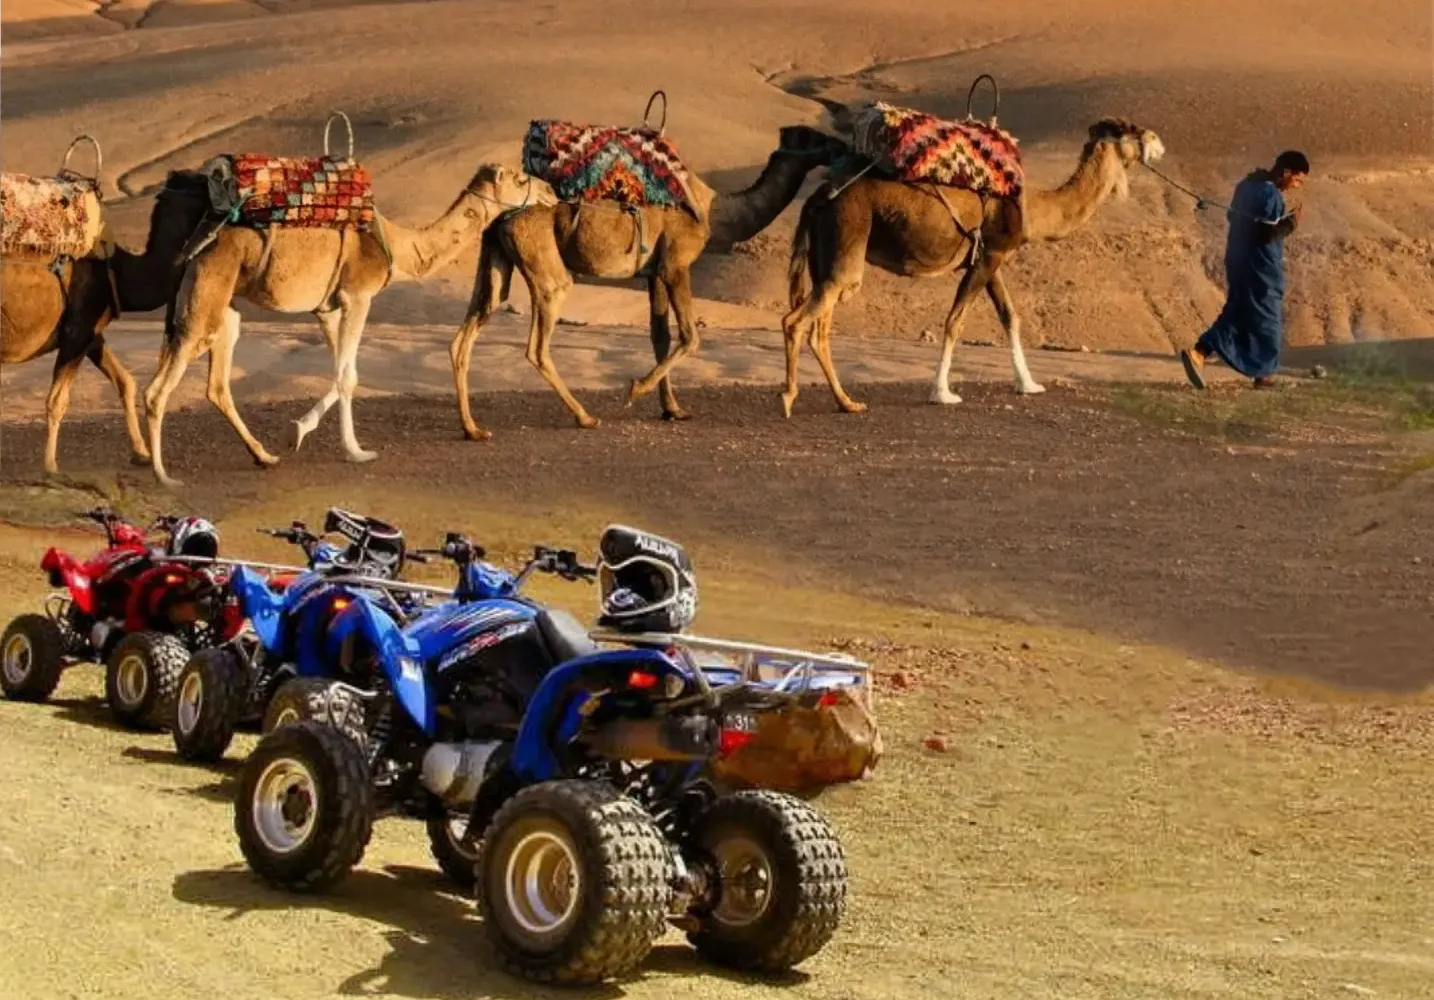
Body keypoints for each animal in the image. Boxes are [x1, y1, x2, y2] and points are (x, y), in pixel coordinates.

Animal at [1, 171, 211, 474]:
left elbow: (125, 382)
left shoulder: (92, 334)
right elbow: (56, 401)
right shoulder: (77, 332)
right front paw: (50, 467)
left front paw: (141, 453)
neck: (118, 271)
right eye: (203, 183)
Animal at [144, 164, 546, 487]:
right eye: (520, 177)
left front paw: (297, 432)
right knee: (158, 390)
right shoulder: (358, 295)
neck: (397, 246)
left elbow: (344, 371)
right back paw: (163, 475)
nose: (548, 191)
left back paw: (264, 456)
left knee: (215, 384)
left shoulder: (329, 308)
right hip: (208, 291)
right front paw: (356, 451)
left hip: (222, 306)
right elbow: (347, 377)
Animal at [448, 125, 850, 438]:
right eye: (815, 136)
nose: (843, 146)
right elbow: (690, 335)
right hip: (543, 260)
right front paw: (636, 389)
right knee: (539, 340)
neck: (715, 211)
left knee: (476, 320)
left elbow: (662, 336)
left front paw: (673, 408)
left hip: (495, 256)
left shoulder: (654, 271)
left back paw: (473, 428)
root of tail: (504, 214)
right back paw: (585, 417)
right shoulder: (676, 262)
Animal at [780, 117, 1166, 416]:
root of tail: (816, 198)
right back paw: (788, 398)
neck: (1031, 207)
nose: (1158, 141)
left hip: (827, 256)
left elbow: (1010, 316)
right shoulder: (990, 255)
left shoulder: (990, 257)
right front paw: (942, 393)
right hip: (847, 238)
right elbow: (956, 320)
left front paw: (1029, 384)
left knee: (820, 328)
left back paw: (847, 403)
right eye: (1130, 128)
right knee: (796, 320)